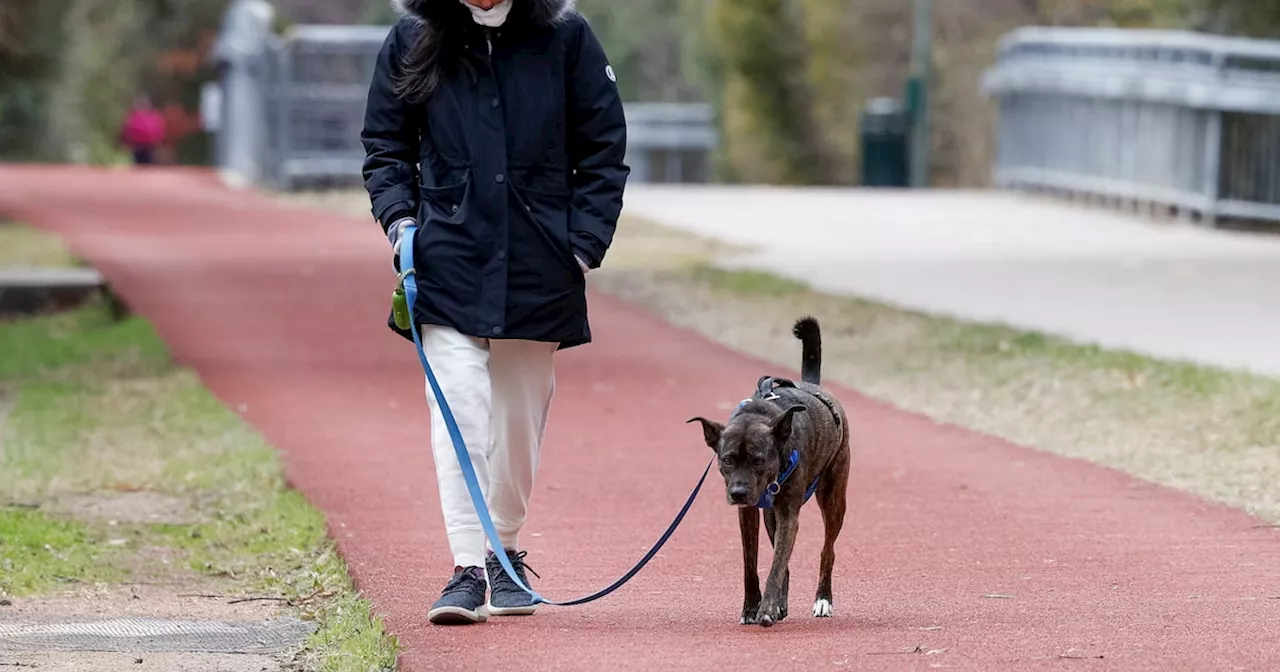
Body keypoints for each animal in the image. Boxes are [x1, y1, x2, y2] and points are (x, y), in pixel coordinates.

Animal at [691, 317, 849, 627]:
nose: (738, 492)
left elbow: (776, 565)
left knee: (827, 550)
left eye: (758, 459)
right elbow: (751, 564)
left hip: (834, 498)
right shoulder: (749, 514)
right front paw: (753, 607)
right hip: (769, 516)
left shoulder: (789, 515)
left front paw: (765, 608)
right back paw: (780, 604)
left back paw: (822, 599)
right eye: (727, 460)